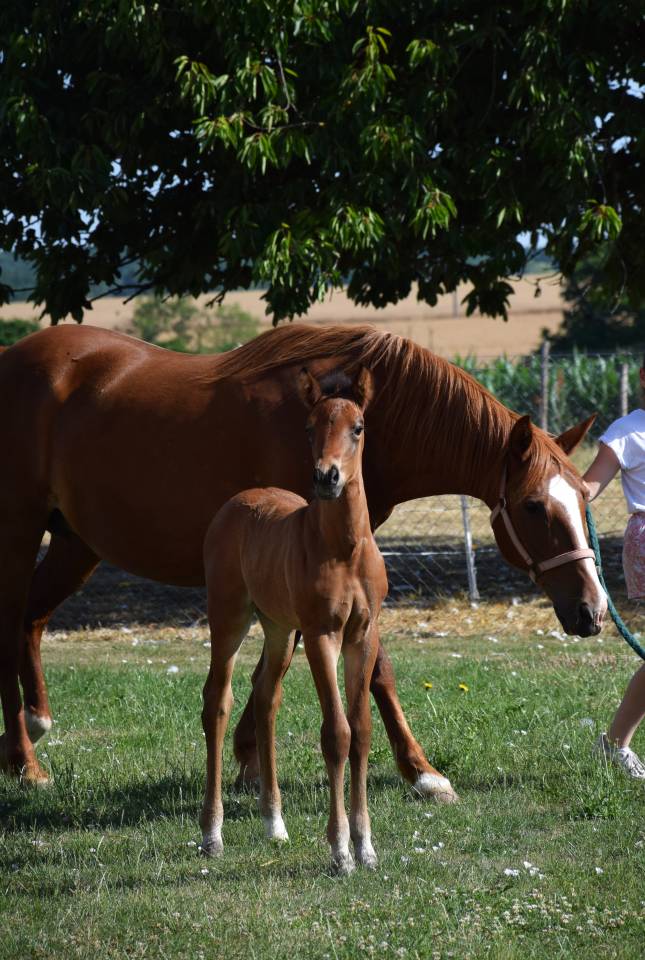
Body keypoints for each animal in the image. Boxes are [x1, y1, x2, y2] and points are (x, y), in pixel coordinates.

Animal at [0, 322, 606, 793]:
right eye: (533, 506)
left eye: (584, 496)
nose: (594, 612)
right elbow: (370, 668)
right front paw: (422, 772)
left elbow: (289, 657)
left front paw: (248, 754)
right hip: (20, 532)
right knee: (11, 625)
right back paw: (26, 764)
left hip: (77, 544)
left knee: (30, 619)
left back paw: (33, 724)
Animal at [201, 366, 387, 873]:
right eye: (309, 427)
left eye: (358, 427)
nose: (327, 477)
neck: (344, 549)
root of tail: (236, 502)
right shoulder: (323, 634)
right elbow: (337, 733)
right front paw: (340, 850)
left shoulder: (363, 636)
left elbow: (362, 730)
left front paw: (367, 846)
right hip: (229, 617)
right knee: (217, 702)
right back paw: (211, 834)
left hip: (280, 629)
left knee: (266, 698)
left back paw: (274, 824)